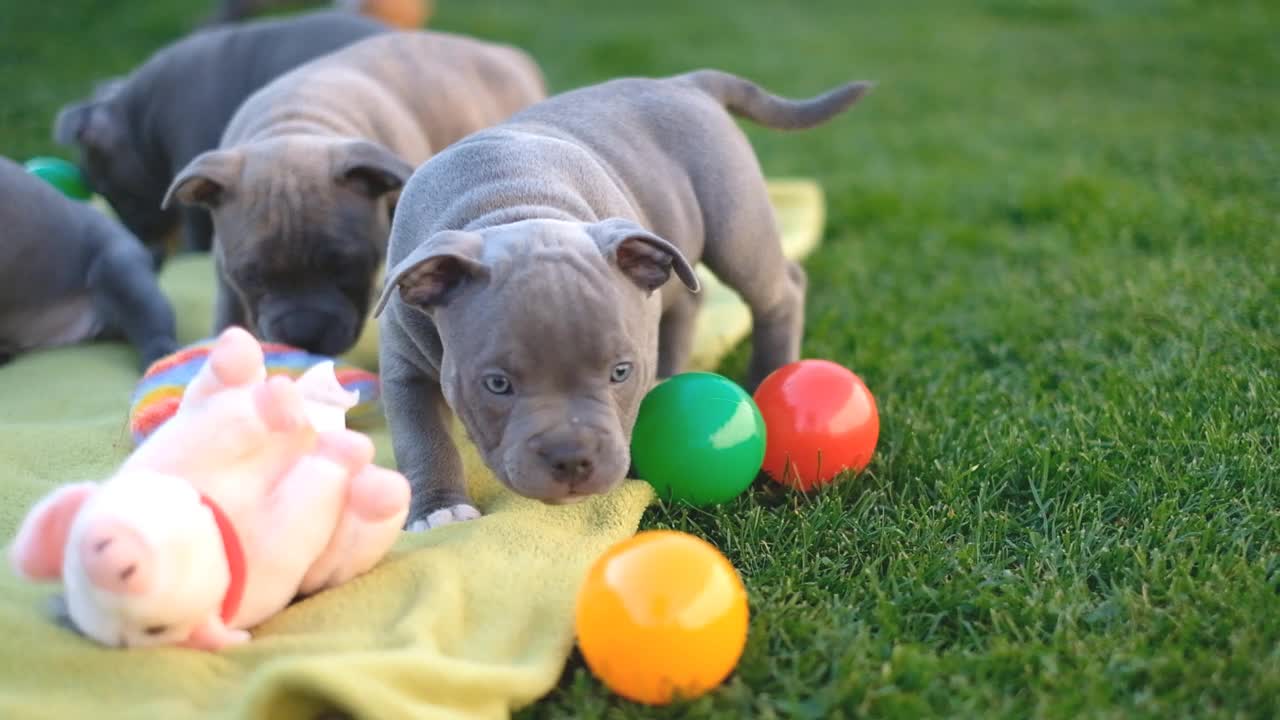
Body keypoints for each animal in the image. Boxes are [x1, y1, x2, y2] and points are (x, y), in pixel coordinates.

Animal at [162, 30, 542, 356]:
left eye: (346, 267)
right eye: (251, 277)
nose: (303, 337)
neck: (298, 123)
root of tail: (505, 54)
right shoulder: (226, 278)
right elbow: (229, 317)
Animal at [371, 68, 870, 527]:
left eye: (620, 373)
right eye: (497, 384)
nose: (571, 458)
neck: (508, 203)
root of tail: (685, 82)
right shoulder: (404, 368)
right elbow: (423, 438)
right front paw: (440, 511)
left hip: (736, 223)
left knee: (780, 290)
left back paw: (768, 374)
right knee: (690, 300)